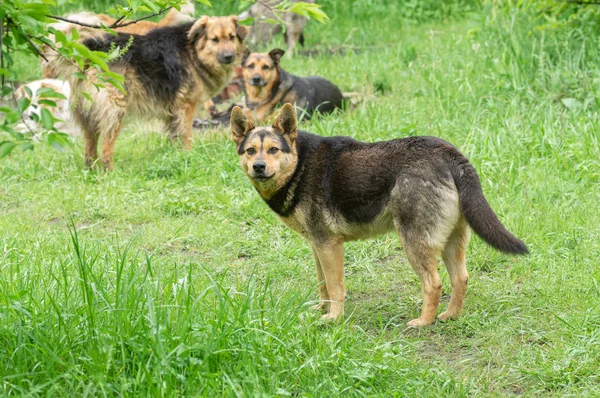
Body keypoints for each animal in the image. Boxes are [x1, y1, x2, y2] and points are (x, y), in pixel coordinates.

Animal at [48, 14, 250, 168]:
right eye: (215, 40)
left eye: (232, 37)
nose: (228, 56)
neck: (192, 51)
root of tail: (92, 51)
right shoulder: (186, 107)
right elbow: (186, 136)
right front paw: (189, 156)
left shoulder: (172, 113)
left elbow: (174, 137)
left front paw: (176, 157)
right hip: (115, 112)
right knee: (106, 150)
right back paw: (110, 173)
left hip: (89, 114)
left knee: (89, 150)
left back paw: (92, 171)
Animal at [227, 104, 528, 328]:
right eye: (250, 150)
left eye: (274, 150)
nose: (258, 166)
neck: (300, 164)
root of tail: (451, 154)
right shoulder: (317, 246)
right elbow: (323, 284)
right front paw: (322, 310)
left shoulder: (328, 245)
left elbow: (335, 287)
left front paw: (333, 318)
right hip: (450, 242)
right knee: (461, 279)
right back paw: (449, 316)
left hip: (414, 243)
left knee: (434, 284)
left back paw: (423, 322)